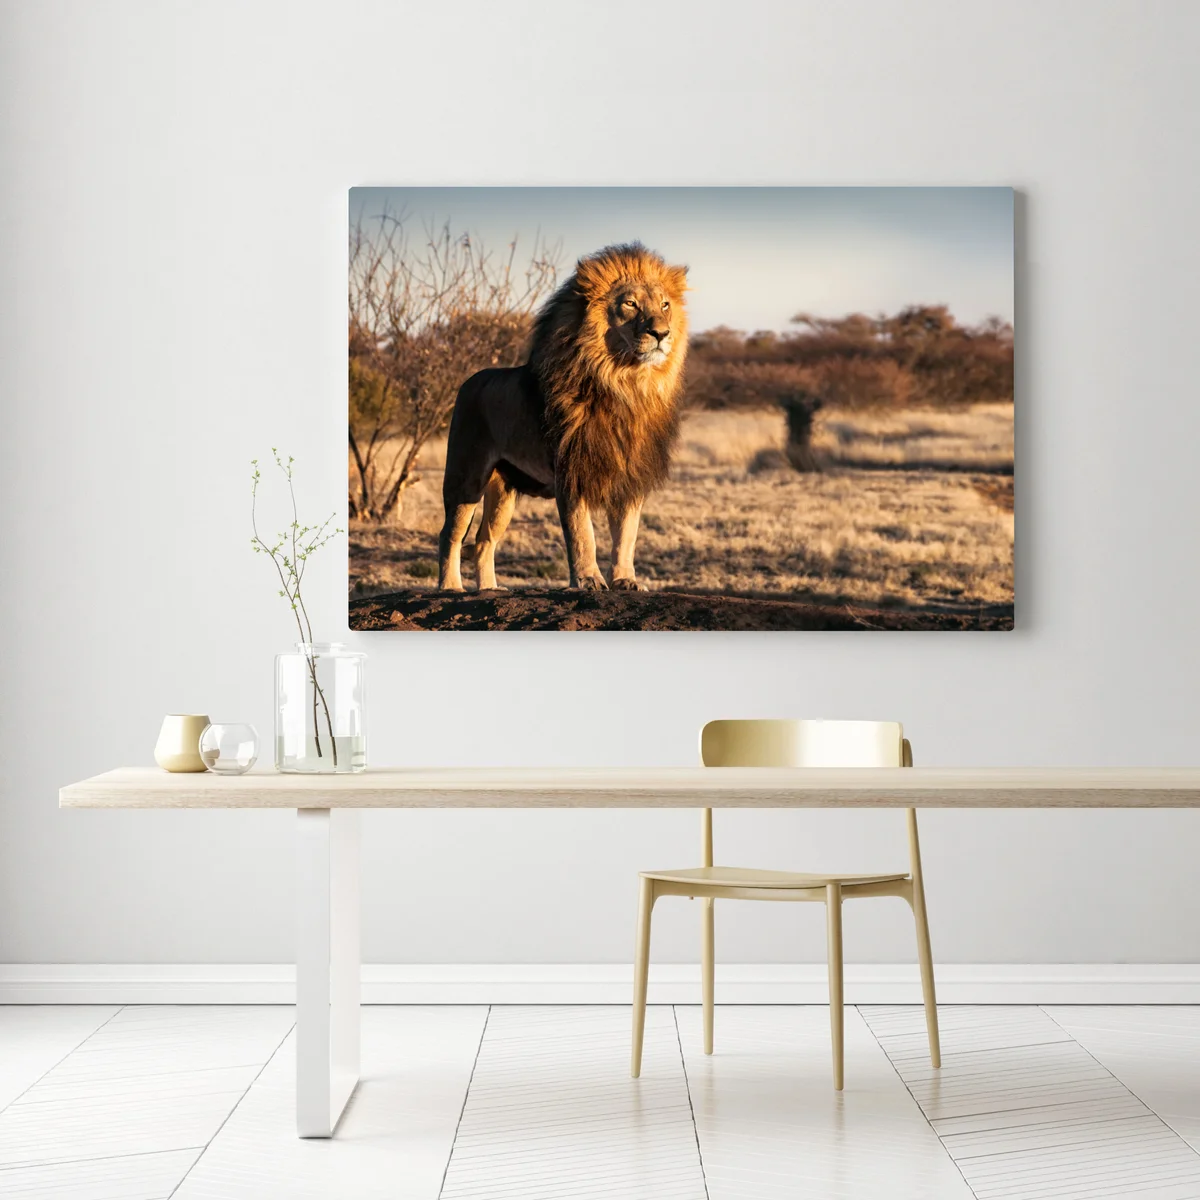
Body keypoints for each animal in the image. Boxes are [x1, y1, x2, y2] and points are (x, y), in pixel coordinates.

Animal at [437, 242, 689, 592]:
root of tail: (469, 380)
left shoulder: (630, 475)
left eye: (665, 305)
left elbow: (627, 535)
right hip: (466, 477)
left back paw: (489, 589)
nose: (661, 333)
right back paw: (450, 587)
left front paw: (626, 580)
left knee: (484, 540)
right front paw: (588, 580)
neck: (625, 384)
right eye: (630, 303)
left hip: (503, 492)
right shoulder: (571, 470)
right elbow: (583, 534)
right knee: (450, 534)